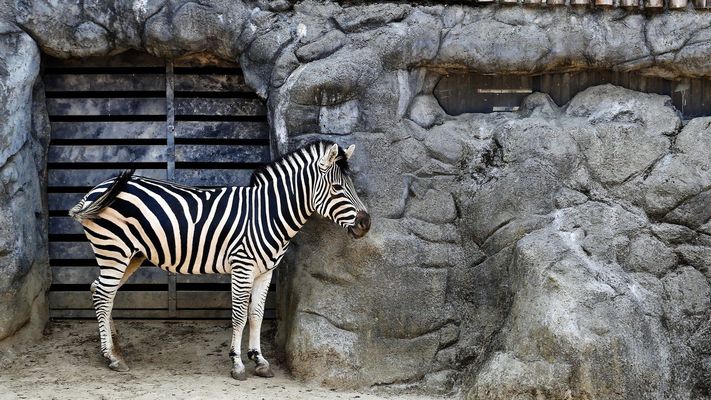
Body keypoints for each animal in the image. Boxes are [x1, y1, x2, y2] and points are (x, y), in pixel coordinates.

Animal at [68, 141, 371, 380]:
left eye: (352, 186)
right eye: (337, 187)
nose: (366, 224)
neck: (268, 213)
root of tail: (96, 189)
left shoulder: (265, 271)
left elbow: (256, 314)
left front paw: (259, 360)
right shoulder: (242, 266)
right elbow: (239, 316)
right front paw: (237, 364)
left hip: (131, 254)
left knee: (101, 291)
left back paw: (115, 349)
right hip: (113, 249)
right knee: (103, 294)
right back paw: (112, 357)